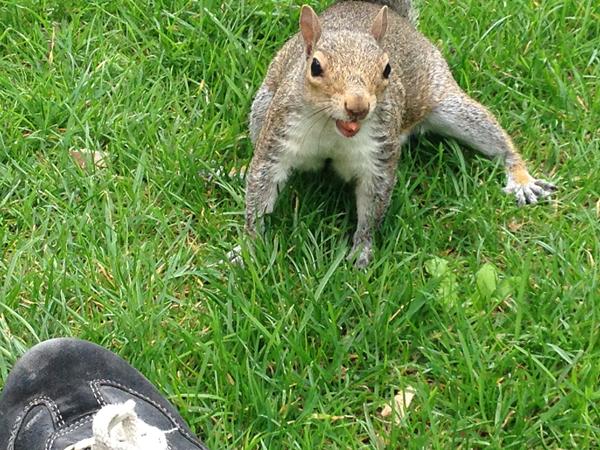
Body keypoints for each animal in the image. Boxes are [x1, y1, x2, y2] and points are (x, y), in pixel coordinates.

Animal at [245, 0, 556, 268]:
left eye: (387, 69)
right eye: (315, 66)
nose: (358, 107)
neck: (332, 128)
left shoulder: (378, 154)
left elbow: (373, 205)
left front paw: (361, 250)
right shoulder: (278, 137)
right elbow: (261, 184)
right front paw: (249, 248)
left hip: (447, 103)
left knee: (496, 139)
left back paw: (521, 178)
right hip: (262, 108)